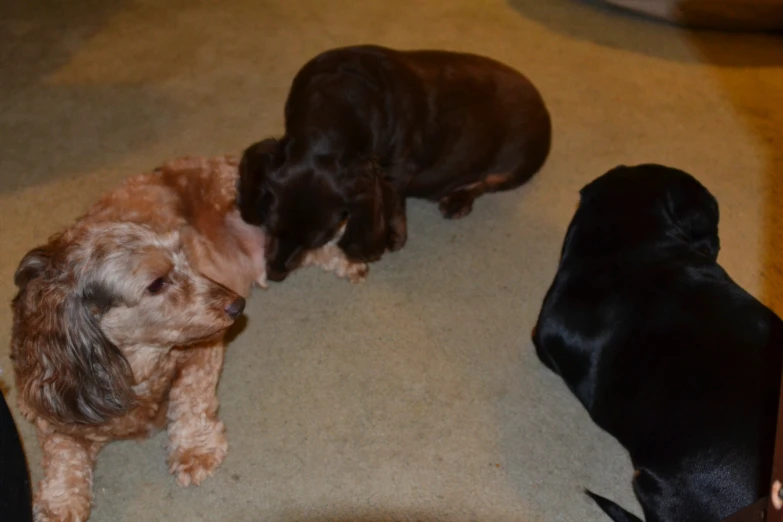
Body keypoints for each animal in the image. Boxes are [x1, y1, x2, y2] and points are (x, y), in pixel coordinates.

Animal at [239, 44, 552, 280]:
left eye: (318, 241)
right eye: (269, 225)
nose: (275, 275)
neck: (336, 104)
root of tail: (542, 105)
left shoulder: (395, 171)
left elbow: (392, 200)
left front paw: (391, 235)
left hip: (518, 164)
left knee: (486, 183)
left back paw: (458, 200)